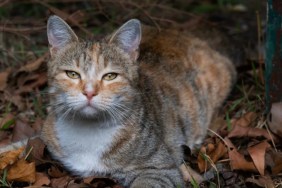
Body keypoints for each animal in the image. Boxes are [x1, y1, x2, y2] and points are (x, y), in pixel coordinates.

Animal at [1, 15, 237, 187]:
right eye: (72, 74)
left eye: (110, 76)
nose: (89, 92)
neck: (88, 131)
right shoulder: (42, 137)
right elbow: (11, 147)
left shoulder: (160, 169)